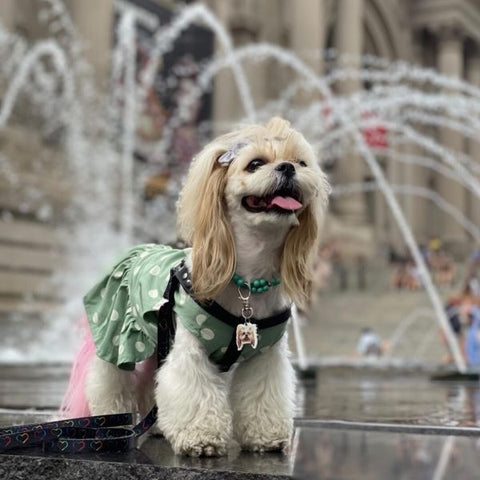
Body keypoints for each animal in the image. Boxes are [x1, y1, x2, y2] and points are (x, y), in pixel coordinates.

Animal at [61, 116, 330, 458]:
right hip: (116, 334)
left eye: (302, 162)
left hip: (156, 343)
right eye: (255, 164)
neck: (248, 281)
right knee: (110, 380)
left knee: (150, 381)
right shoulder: (190, 349)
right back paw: (111, 423)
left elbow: (262, 393)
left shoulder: (266, 355)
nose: (288, 168)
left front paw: (265, 437)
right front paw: (201, 438)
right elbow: (195, 391)